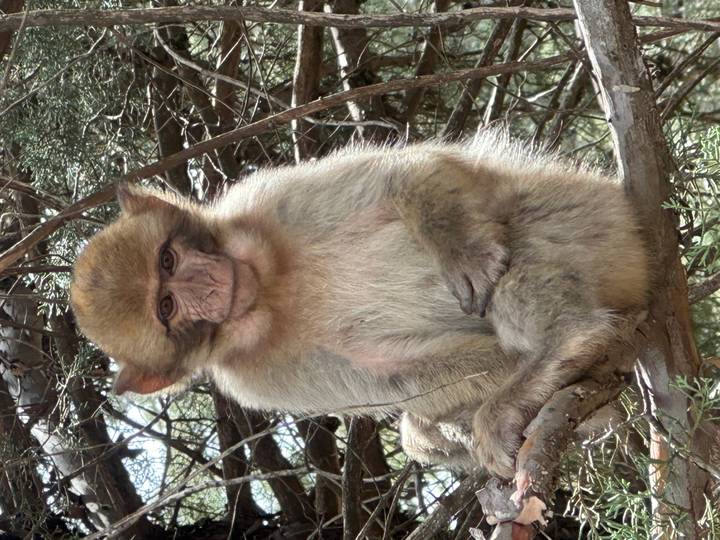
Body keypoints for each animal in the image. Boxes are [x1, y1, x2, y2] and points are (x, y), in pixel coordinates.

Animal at [70, 131, 649, 479]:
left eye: (166, 260)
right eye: (166, 306)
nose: (204, 280)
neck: (265, 294)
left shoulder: (261, 201)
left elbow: (403, 174)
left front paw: (462, 250)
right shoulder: (254, 377)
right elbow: (400, 374)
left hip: (579, 219)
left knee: (512, 246)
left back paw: (565, 340)